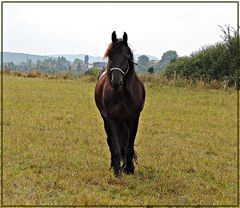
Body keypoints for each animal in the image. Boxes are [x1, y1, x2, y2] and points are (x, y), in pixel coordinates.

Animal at [94, 31, 145, 177]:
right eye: (110, 56)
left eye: (126, 56)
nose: (116, 82)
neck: (122, 95)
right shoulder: (110, 119)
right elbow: (115, 147)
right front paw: (117, 171)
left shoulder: (134, 119)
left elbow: (129, 145)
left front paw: (129, 169)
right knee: (110, 142)